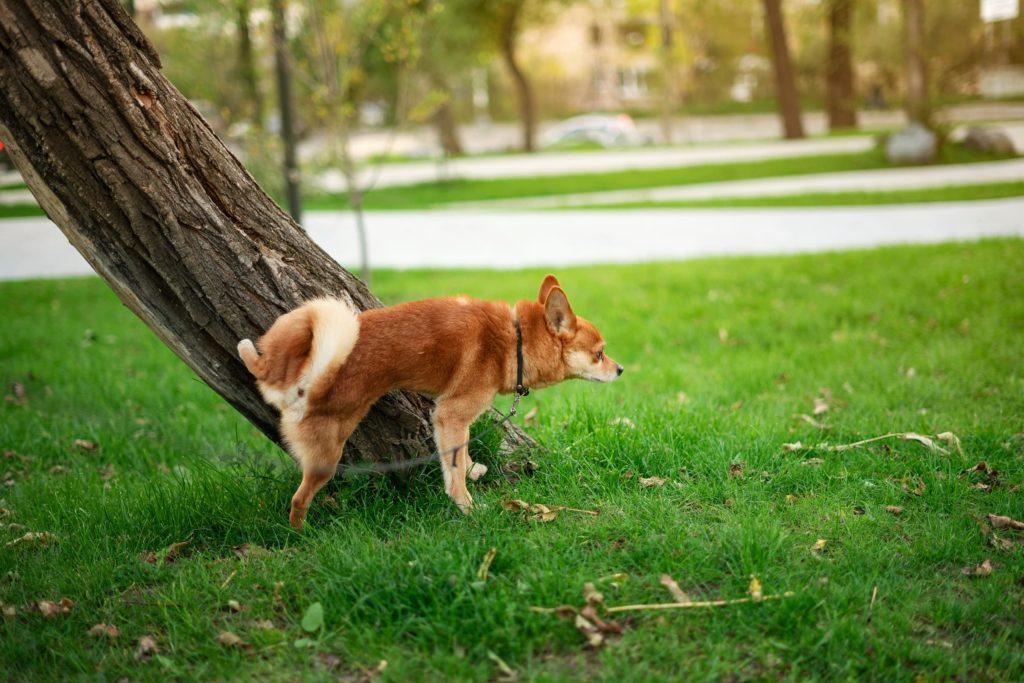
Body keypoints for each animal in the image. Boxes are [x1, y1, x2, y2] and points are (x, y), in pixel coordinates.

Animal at [237, 274, 622, 532]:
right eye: (600, 354)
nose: (619, 369)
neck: (514, 339)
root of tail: (297, 387)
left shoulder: (450, 420)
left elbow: (460, 455)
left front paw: (473, 468)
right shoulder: (451, 414)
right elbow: (454, 472)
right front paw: (467, 507)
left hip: (296, 329)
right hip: (326, 458)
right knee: (298, 500)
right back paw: (300, 532)